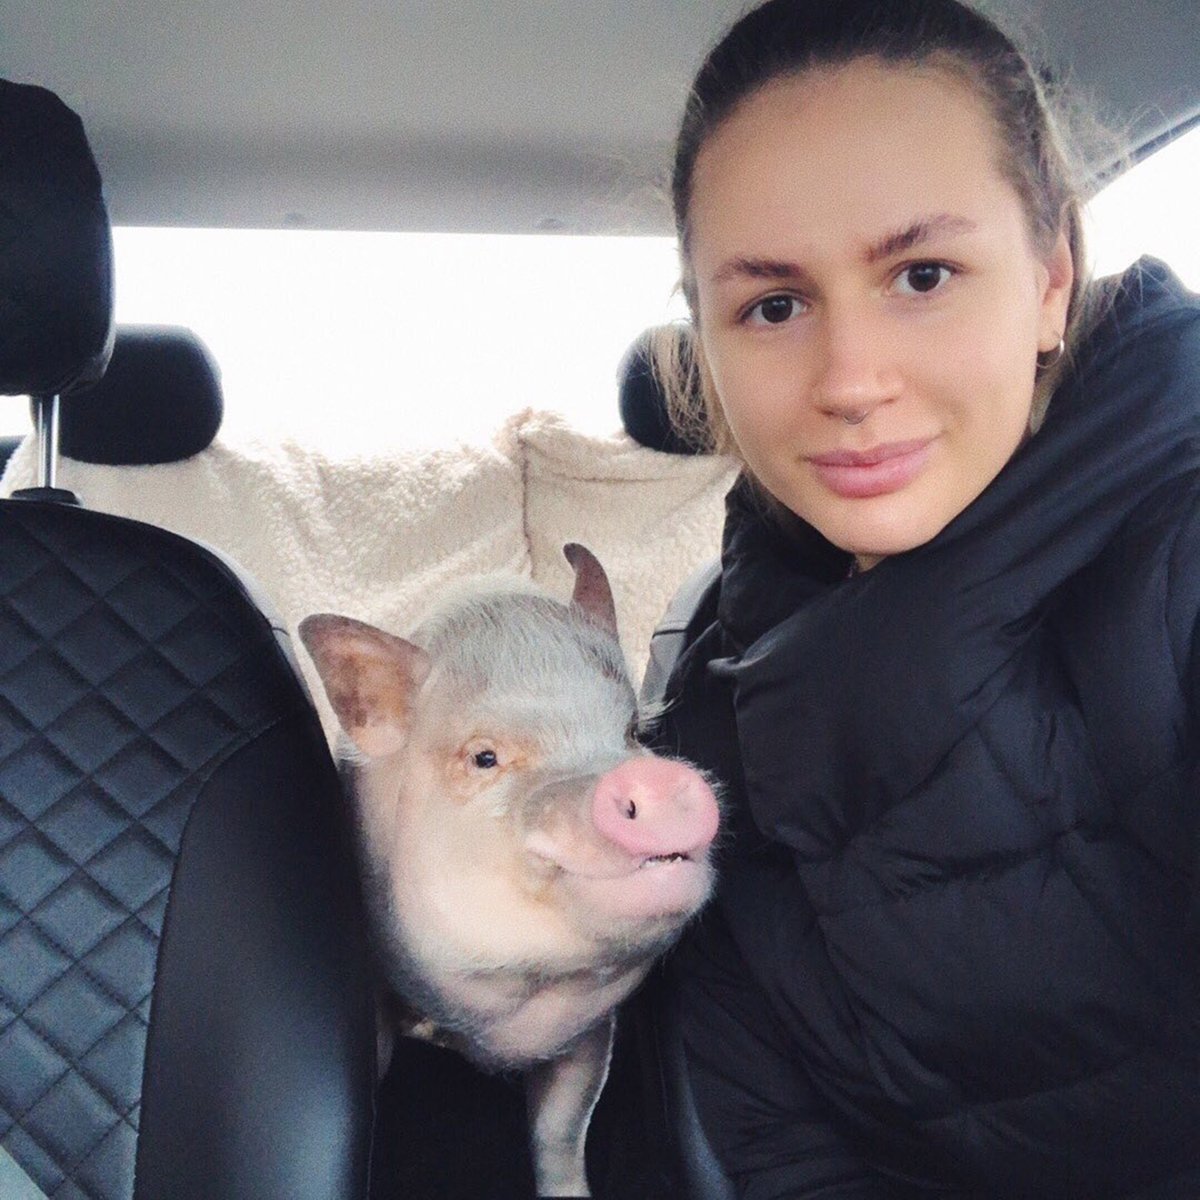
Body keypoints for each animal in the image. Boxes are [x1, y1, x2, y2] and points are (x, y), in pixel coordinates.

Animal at [299, 543, 719, 1197]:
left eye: (632, 731)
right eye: (484, 757)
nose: (653, 777)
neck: (498, 1023)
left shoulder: (589, 1031)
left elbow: (560, 1133)